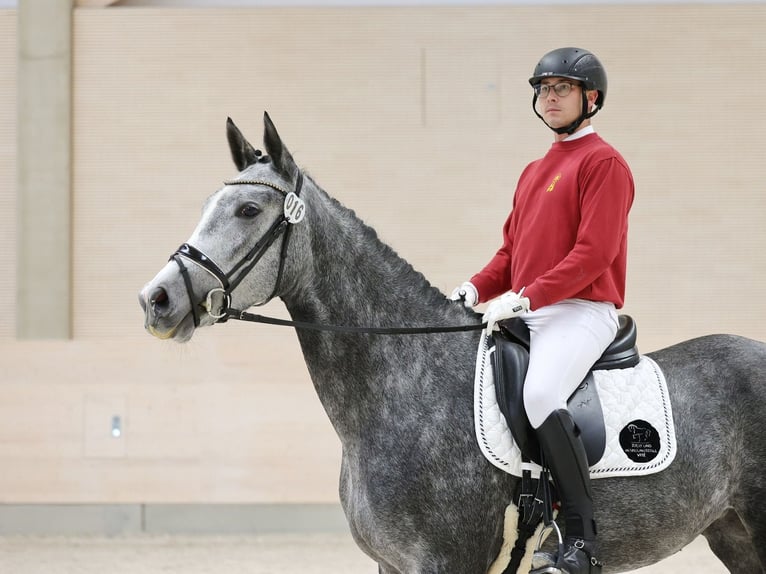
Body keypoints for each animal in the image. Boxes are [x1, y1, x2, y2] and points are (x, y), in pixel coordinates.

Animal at [139, 112, 766, 573]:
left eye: (248, 209)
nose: (157, 300)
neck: (402, 391)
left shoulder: (441, 562)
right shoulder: (391, 564)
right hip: (734, 535)